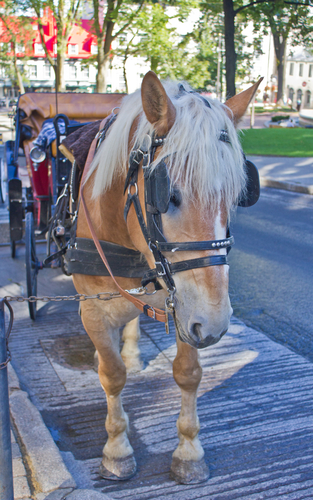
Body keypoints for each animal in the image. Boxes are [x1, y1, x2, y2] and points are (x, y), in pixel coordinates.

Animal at [71, 71, 260, 484]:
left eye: (236, 195)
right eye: (167, 194)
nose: (216, 325)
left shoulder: (184, 304)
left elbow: (188, 373)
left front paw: (189, 452)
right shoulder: (93, 308)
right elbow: (112, 375)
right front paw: (117, 449)